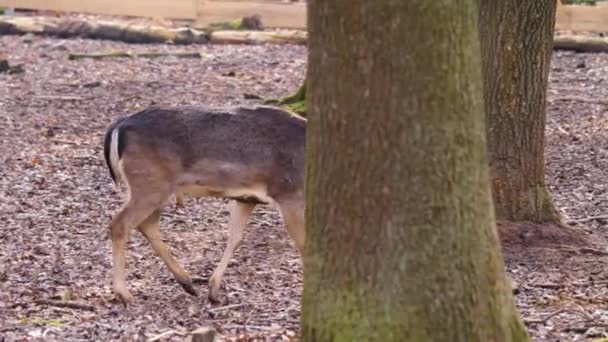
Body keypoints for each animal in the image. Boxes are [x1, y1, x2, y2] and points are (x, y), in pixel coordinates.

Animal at [102, 103, 308, 302]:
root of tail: (119, 125)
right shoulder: (290, 194)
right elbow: (303, 245)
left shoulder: (247, 199)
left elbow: (235, 238)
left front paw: (214, 291)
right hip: (150, 183)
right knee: (120, 223)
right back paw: (123, 293)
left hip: (153, 187)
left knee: (146, 224)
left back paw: (187, 283)